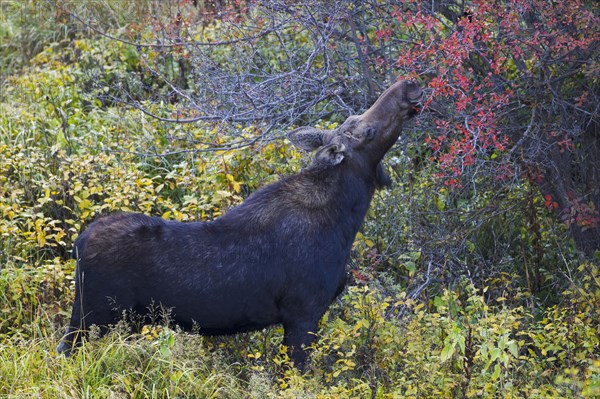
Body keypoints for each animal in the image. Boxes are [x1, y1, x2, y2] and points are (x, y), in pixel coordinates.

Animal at [56, 80, 422, 368]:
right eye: (367, 131)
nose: (410, 85)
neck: (347, 218)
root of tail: (78, 244)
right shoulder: (303, 312)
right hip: (92, 314)